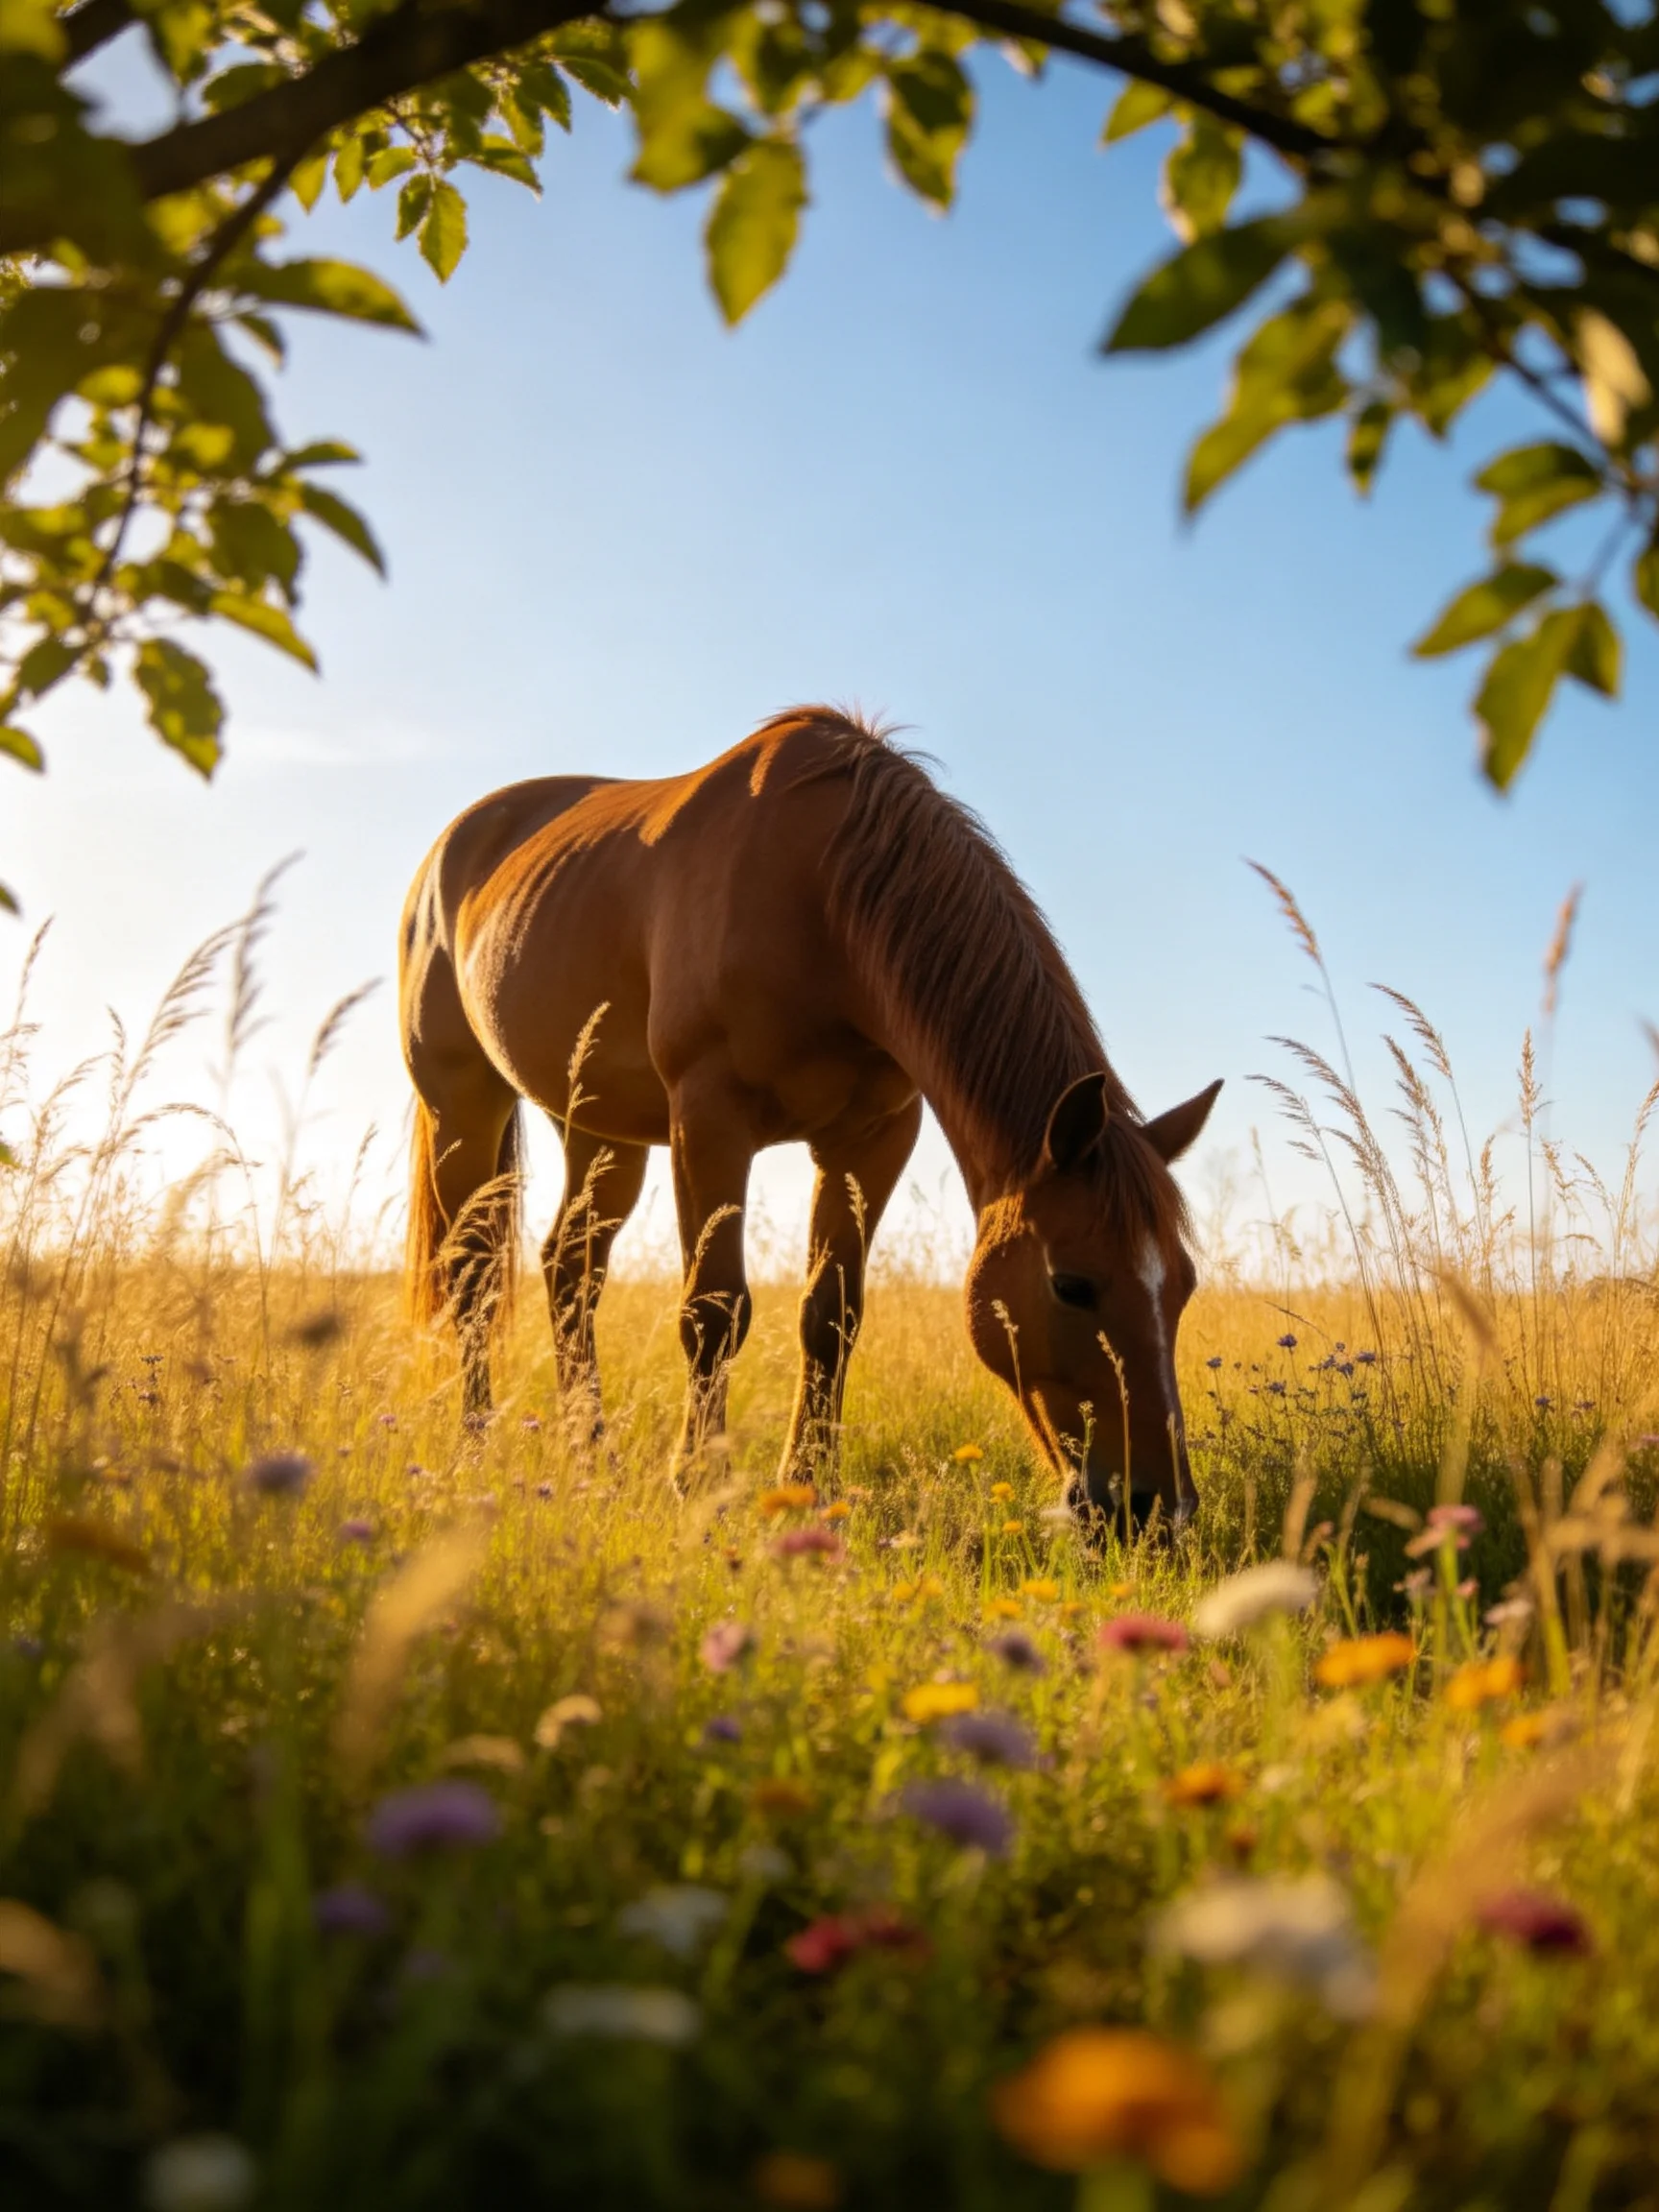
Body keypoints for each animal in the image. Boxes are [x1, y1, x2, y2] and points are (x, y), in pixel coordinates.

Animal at [399, 707, 1220, 1533]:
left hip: (600, 1130)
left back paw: (589, 1455)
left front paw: (809, 1486)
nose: (1158, 1509)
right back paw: (475, 1447)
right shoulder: (710, 1119)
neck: (821, 901)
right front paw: (700, 1482)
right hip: (463, 1105)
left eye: (1182, 1286)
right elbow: (714, 1309)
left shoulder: (873, 1140)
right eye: (1073, 1285)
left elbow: (832, 1314)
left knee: (569, 1268)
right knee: (472, 1273)